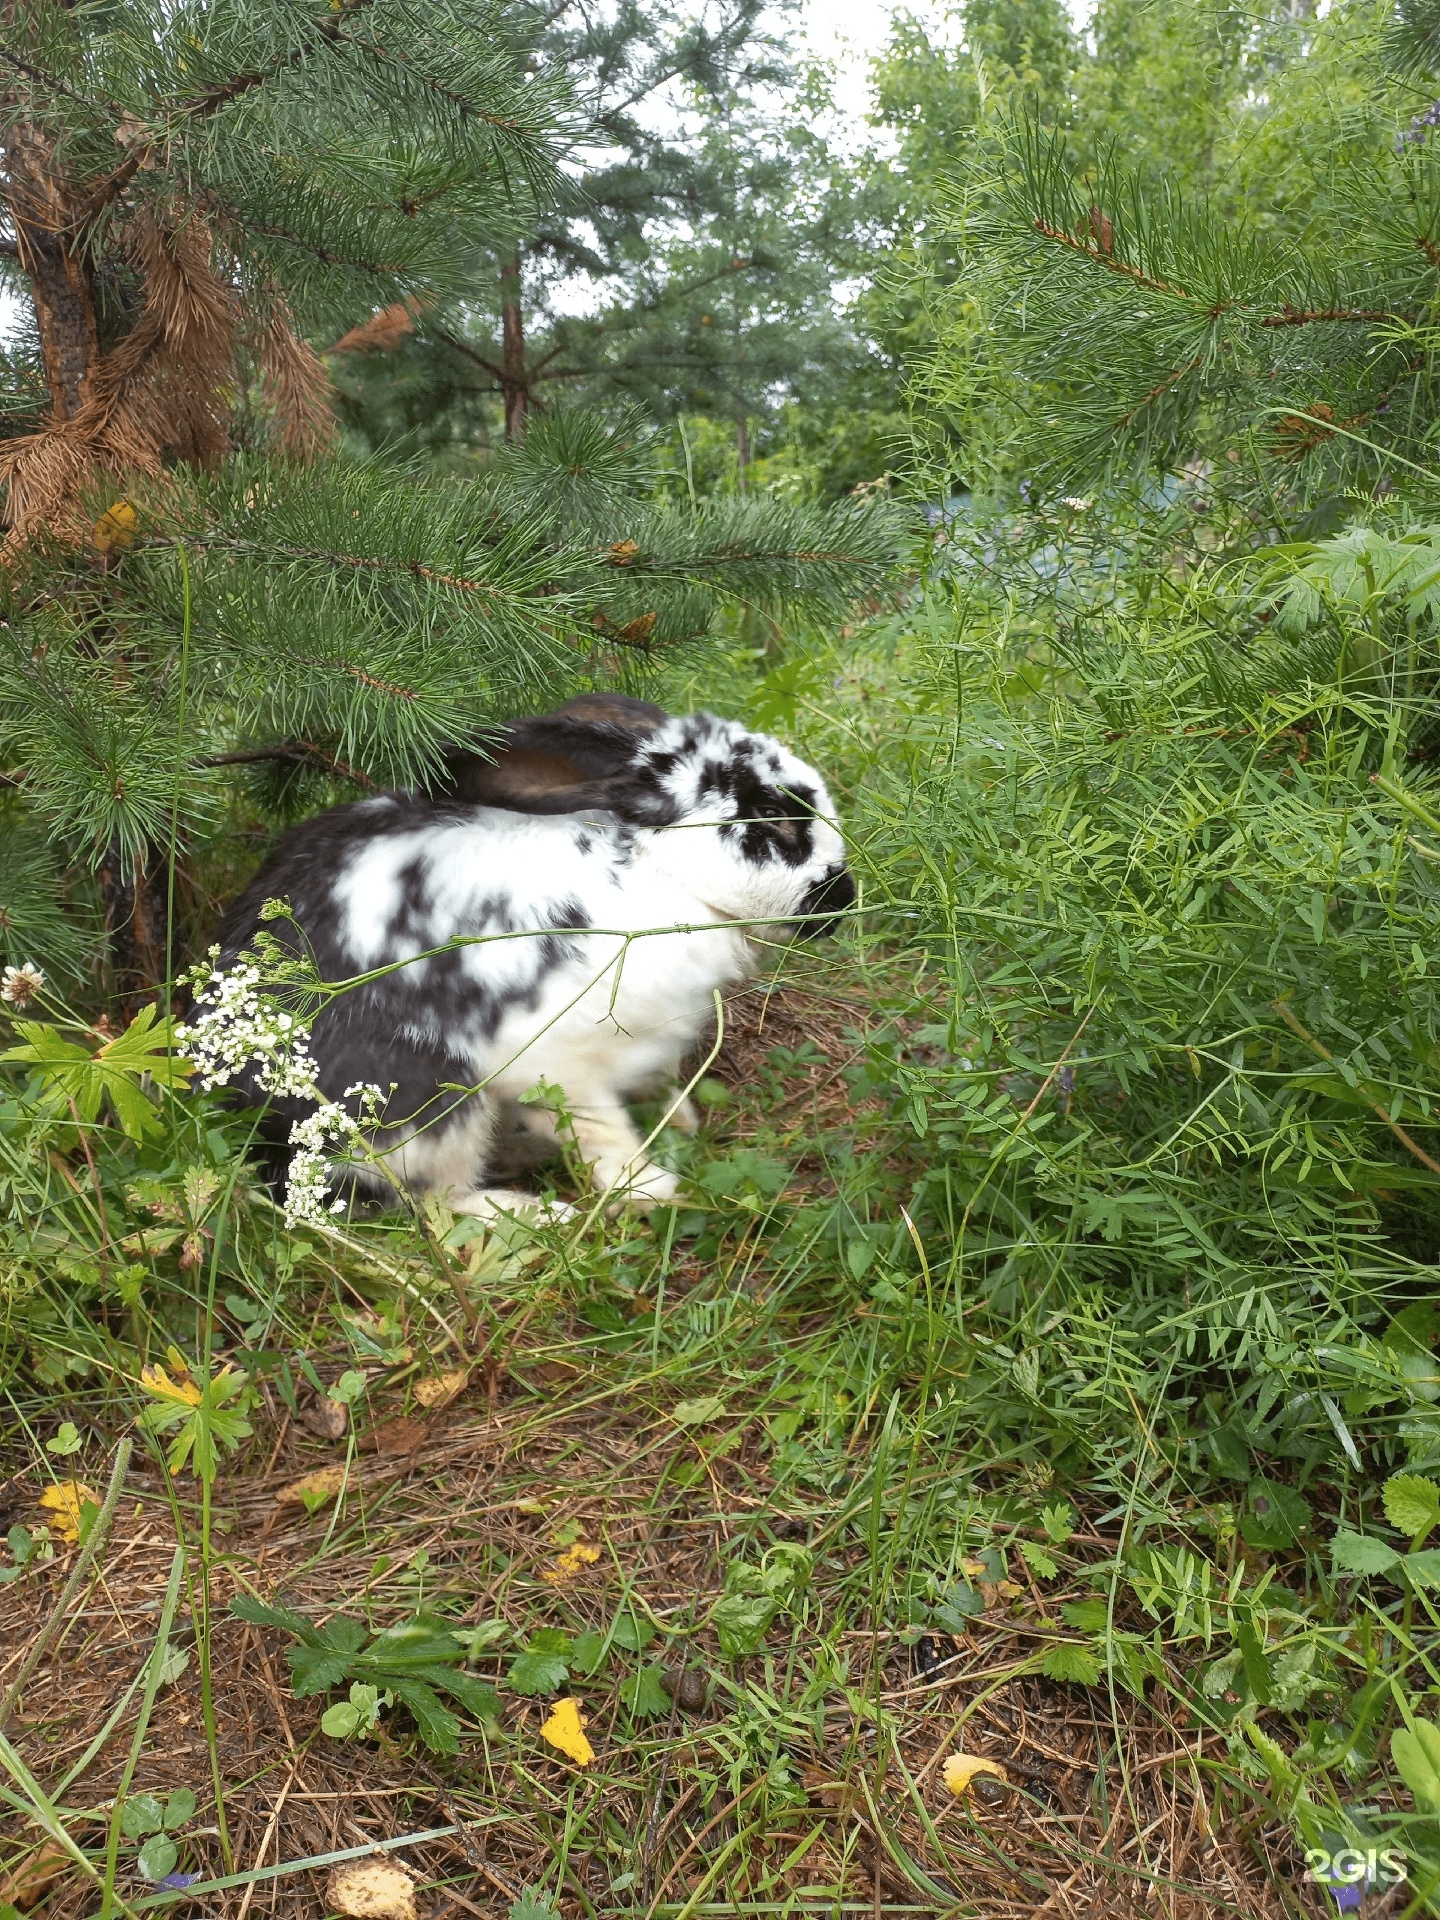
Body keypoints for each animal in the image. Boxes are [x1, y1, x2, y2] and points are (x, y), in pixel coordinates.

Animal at [208, 702, 852, 1213]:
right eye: (772, 818)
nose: (841, 899)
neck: (657, 871)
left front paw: (685, 1123)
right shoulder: (558, 1064)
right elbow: (601, 1134)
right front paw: (652, 1189)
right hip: (428, 1106)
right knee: (438, 1207)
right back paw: (536, 1213)